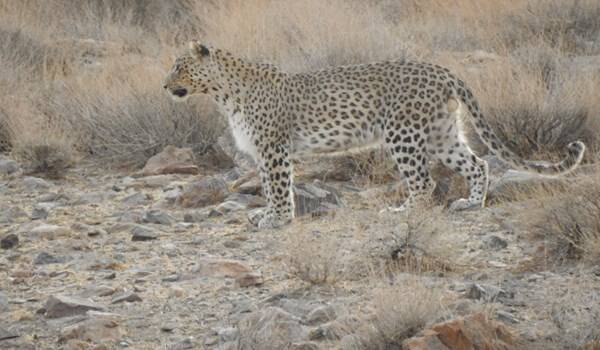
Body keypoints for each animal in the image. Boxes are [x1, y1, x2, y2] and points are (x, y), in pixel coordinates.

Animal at [163, 41, 584, 228]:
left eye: (179, 66)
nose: (165, 86)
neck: (222, 93)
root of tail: (443, 70)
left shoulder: (273, 148)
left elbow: (278, 187)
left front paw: (278, 218)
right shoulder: (262, 152)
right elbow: (267, 185)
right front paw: (266, 213)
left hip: (403, 134)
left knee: (424, 182)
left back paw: (403, 212)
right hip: (442, 135)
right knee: (477, 163)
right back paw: (471, 203)